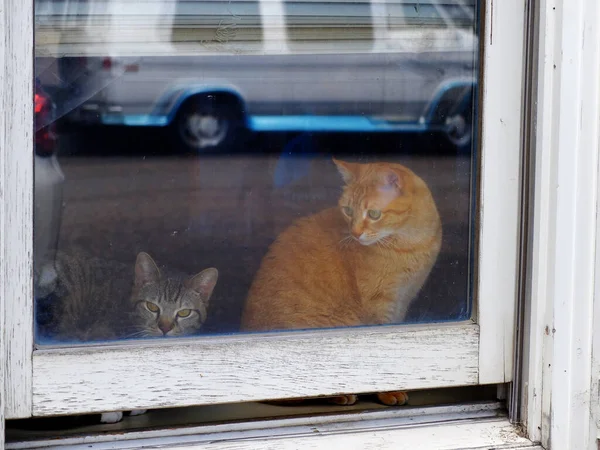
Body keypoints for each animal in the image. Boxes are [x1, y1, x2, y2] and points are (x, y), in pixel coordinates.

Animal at [241, 159, 442, 408]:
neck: (408, 242)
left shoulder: (401, 302)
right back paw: (342, 394)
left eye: (373, 214)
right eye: (348, 211)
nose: (355, 233)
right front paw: (386, 392)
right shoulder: (378, 306)